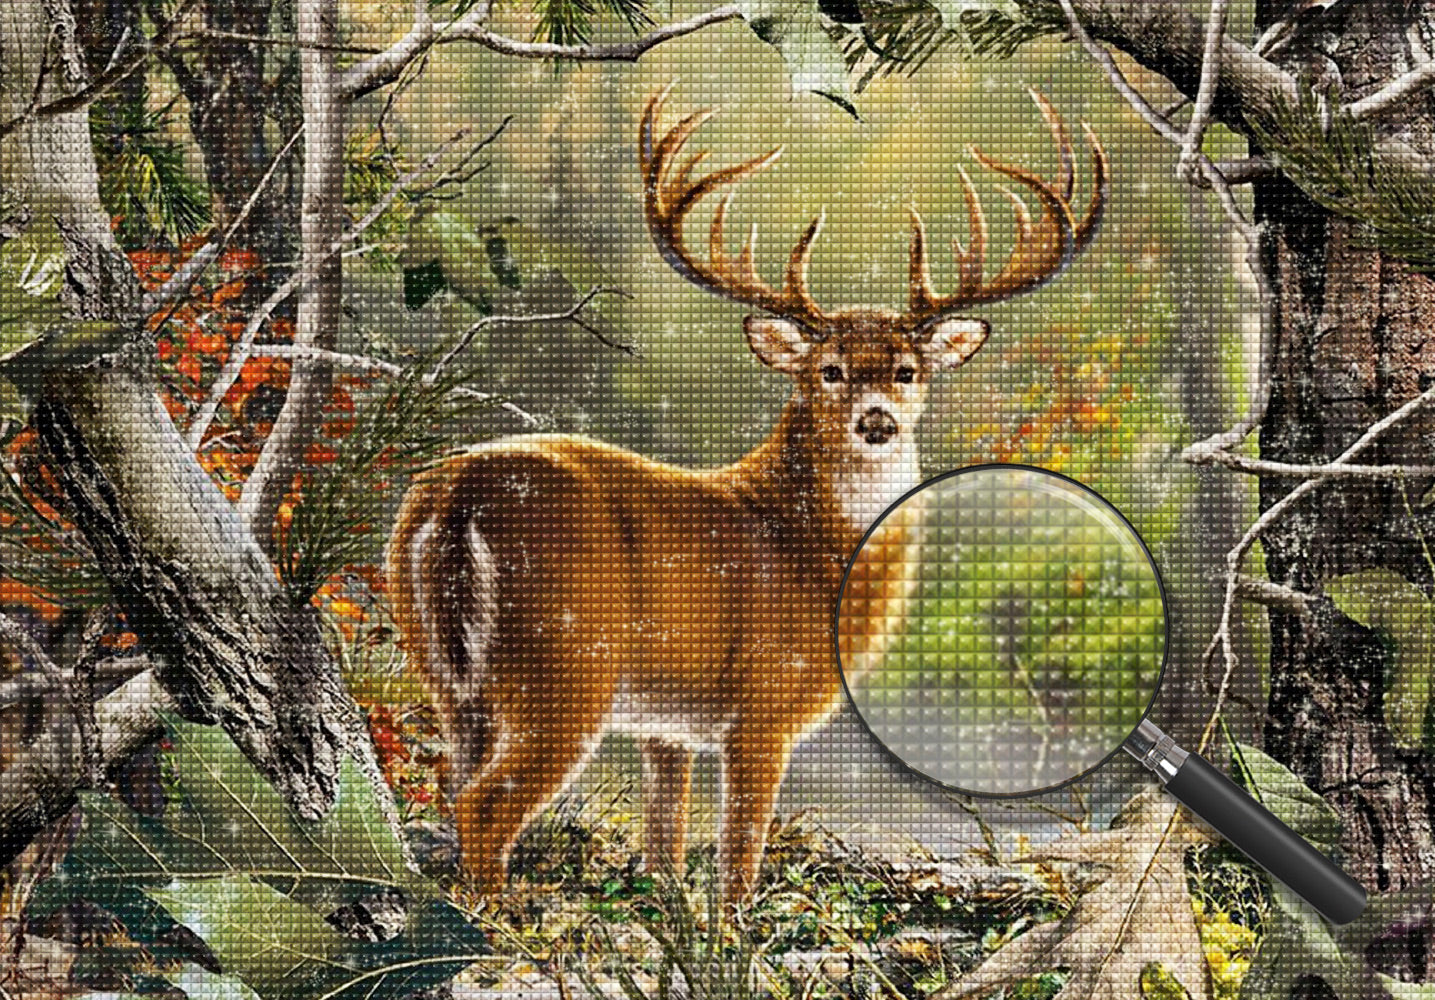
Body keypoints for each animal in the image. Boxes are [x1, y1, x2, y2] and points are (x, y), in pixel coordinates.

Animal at [387, 85, 1106, 904]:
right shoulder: (766, 700)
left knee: (456, 782)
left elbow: (664, 846)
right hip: (565, 663)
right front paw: (728, 926)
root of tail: (457, 497)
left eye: (906, 369)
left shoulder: (666, 723)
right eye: (828, 369)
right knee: (485, 804)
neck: (819, 555)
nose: (877, 422)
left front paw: (669, 913)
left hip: (441, 666)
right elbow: (737, 861)